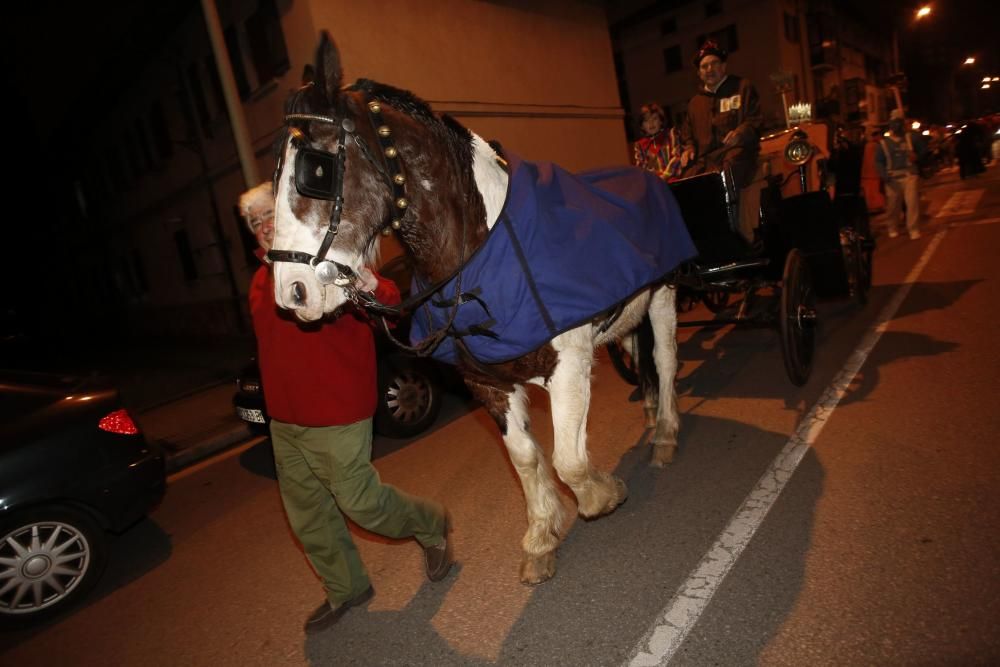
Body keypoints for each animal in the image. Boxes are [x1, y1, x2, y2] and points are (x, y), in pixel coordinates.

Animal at [266, 32, 688, 584]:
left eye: (316, 169)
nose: (291, 292)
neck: (479, 251)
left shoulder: (570, 363)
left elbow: (568, 460)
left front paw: (601, 493)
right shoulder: (487, 383)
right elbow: (526, 458)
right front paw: (541, 534)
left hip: (663, 295)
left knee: (664, 360)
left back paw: (665, 434)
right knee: (640, 360)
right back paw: (649, 416)